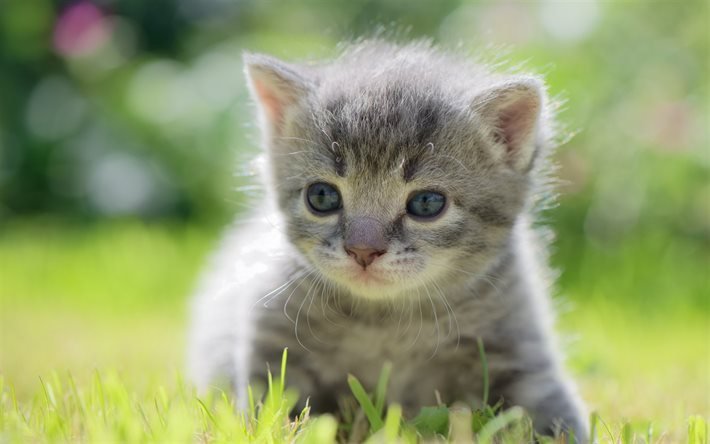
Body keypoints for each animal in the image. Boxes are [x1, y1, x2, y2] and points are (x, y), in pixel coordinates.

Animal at [188, 39, 588, 440]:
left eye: (426, 203)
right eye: (322, 197)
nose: (363, 250)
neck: (386, 323)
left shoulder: (522, 353)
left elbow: (553, 415)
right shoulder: (271, 343)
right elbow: (266, 413)